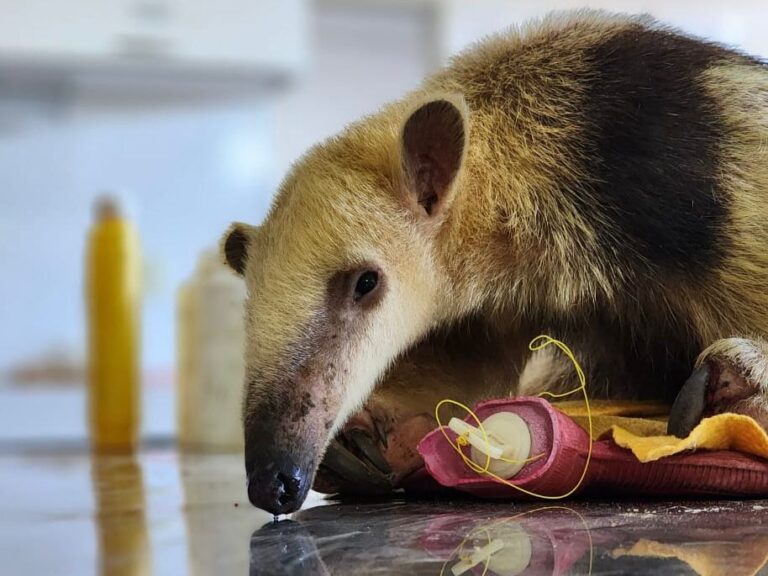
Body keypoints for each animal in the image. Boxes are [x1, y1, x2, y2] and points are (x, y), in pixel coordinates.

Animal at [220, 10, 768, 515]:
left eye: (366, 283)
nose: (275, 483)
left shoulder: (704, 207)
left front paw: (738, 387)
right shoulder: (488, 306)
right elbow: (466, 368)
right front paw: (369, 441)